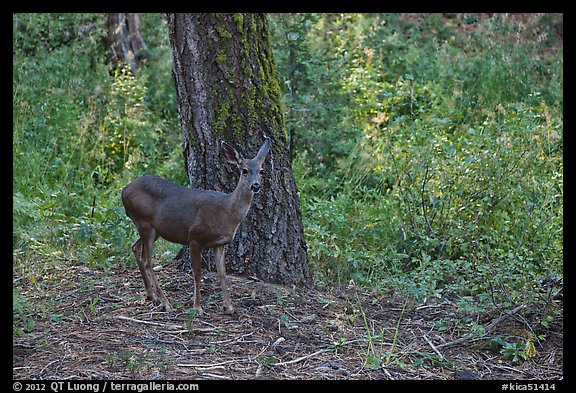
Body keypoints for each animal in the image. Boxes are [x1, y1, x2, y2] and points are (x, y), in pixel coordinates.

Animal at [121, 138, 270, 312]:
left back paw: (152, 296)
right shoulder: (195, 238)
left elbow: (222, 273)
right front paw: (197, 307)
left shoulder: (219, 243)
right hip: (144, 222)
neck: (226, 211)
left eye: (261, 171)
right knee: (148, 262)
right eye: (244, 170)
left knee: (135, 247)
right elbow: (197, 273)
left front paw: (228, 307)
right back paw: (165, 302)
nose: (255, 186)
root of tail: (123, 191)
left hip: (153, 229)